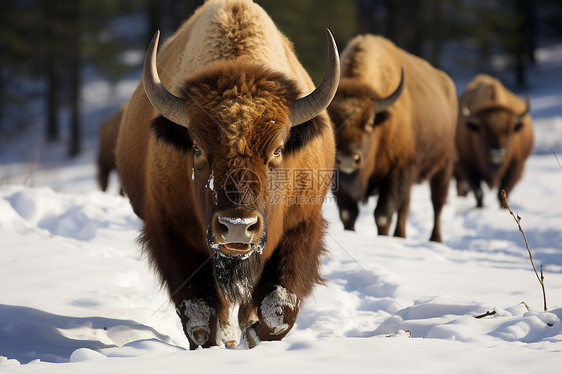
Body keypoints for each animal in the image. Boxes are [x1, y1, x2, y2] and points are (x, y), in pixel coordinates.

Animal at [114, 0, 336, 350]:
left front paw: (255, 335)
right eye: (197, 148)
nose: (237, 227)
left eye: (277, 149)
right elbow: (199, 316)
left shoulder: (301, 227)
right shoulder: (172, 234)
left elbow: (278, 308)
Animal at [326, 34, 458, 243]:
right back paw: (400, 235)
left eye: (370, 122)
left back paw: (434, 239)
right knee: (405, 207)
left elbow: (383, 215)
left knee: (437, 203)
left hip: (444, 164)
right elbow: (348, 214)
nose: (348, 159)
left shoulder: (398, 171)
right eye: (332, 121)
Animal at [450, 73, 528, 207]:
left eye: (509, 131)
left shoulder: (515, 167)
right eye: (483, 132)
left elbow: (503, 192)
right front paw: (480, 206)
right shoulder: (468, 167)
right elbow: (478, 192)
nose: (497, 153)